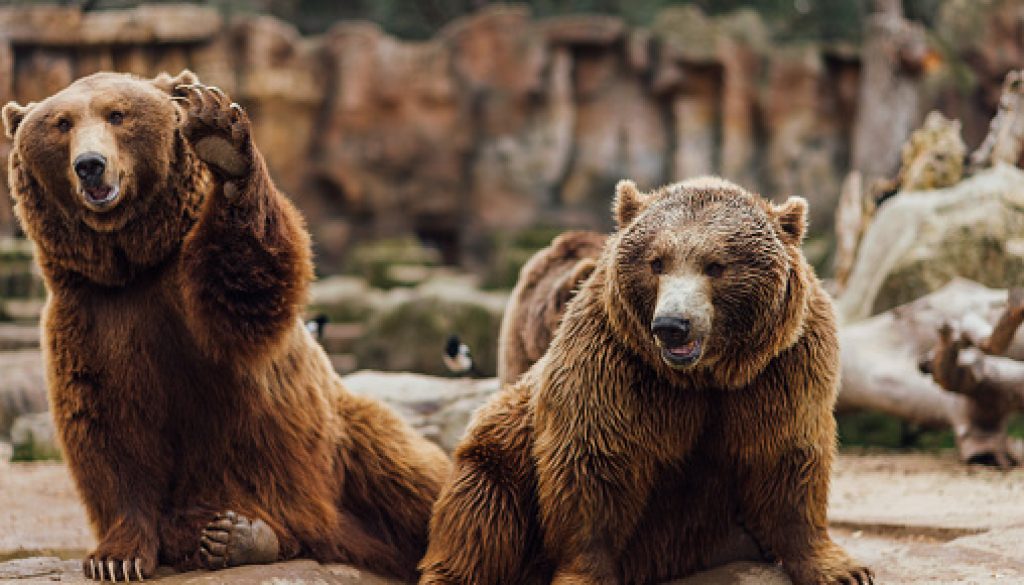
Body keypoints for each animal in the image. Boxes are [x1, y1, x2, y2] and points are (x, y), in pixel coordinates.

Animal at [2, 71, 450, 582]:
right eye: (61, 123)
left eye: (117, 114)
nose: (90, 166)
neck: (134, 266)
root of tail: (332, 534)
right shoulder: (90, 321)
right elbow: (109, 431)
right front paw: (117, 557)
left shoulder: (193, 297)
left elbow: (246, 285)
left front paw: (220, 140)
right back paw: (234, 536)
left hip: (344, 438)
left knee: (411, 477)